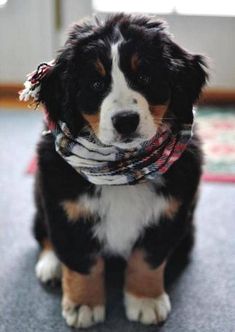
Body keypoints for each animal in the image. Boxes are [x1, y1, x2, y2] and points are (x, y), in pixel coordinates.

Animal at [27, 13, 207, 330]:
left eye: (145, 77)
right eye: (96, 84)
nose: (125, 121)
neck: (121, 171)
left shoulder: (170, 213)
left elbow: (147, 259)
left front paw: (146, 299)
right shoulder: (65, 209)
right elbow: (81, 261)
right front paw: (84, 304)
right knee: (43, 233)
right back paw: (51, 266)